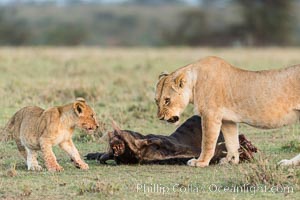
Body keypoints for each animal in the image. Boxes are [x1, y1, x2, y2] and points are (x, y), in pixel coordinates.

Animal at [155, 56, 300, 167]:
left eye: (167, 100)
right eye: (157, 101)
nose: (160, 117)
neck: (194, 83)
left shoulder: (210, 115)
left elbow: (207, 142)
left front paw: (200, 162)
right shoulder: (228, 120)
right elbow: (232, 142)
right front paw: (231, 160)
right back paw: (287, 163)